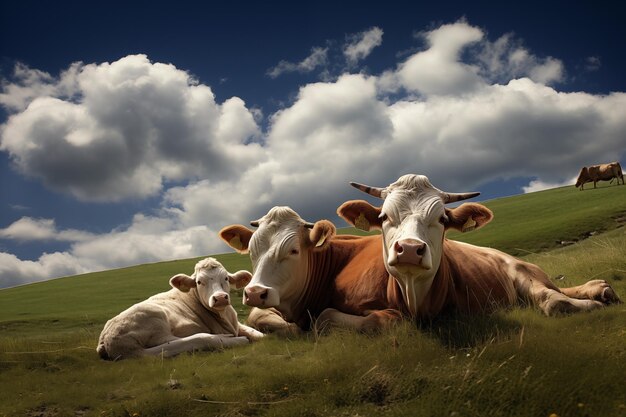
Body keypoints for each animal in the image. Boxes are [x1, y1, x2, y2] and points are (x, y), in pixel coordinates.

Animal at [96, 255, 262, 360]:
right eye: (199, 282)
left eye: (226, 278)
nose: (220, 297)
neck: (226, 318)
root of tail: (105, 337)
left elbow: (259, 334)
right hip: (154, 317)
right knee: (176, 344)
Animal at [332, 172, 620, 318]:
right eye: (383, 217)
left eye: (442, 219)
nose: (411, 249)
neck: (415, 299)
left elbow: (555, 302)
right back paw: (600, 289)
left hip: (522, 271)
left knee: (553, 297)